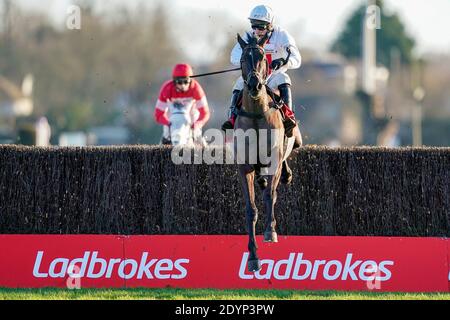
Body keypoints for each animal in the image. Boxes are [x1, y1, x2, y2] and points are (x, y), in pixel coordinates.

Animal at [232, 33, 296, 272]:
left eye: (261, 57)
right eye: (243, 58)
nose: (254, 84)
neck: (256, 114)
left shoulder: (273, 160)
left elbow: (270, 196)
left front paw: (270, 232)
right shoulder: (244, 166)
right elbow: (250, 209)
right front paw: (253, 257)